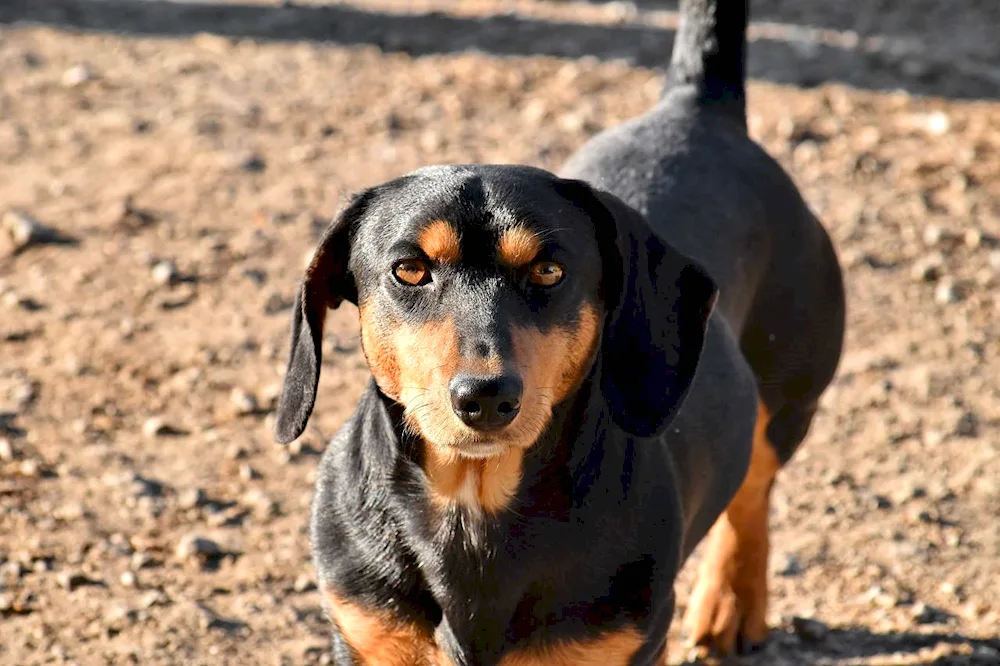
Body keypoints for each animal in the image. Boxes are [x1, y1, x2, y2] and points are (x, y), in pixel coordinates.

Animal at [274, 0, 844, 660]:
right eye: (408, 269)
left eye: (549, 270)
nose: (486, 397)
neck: (476, 508)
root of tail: (698, 110)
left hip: (788, 398)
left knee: (753, 487)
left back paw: (731, 600)